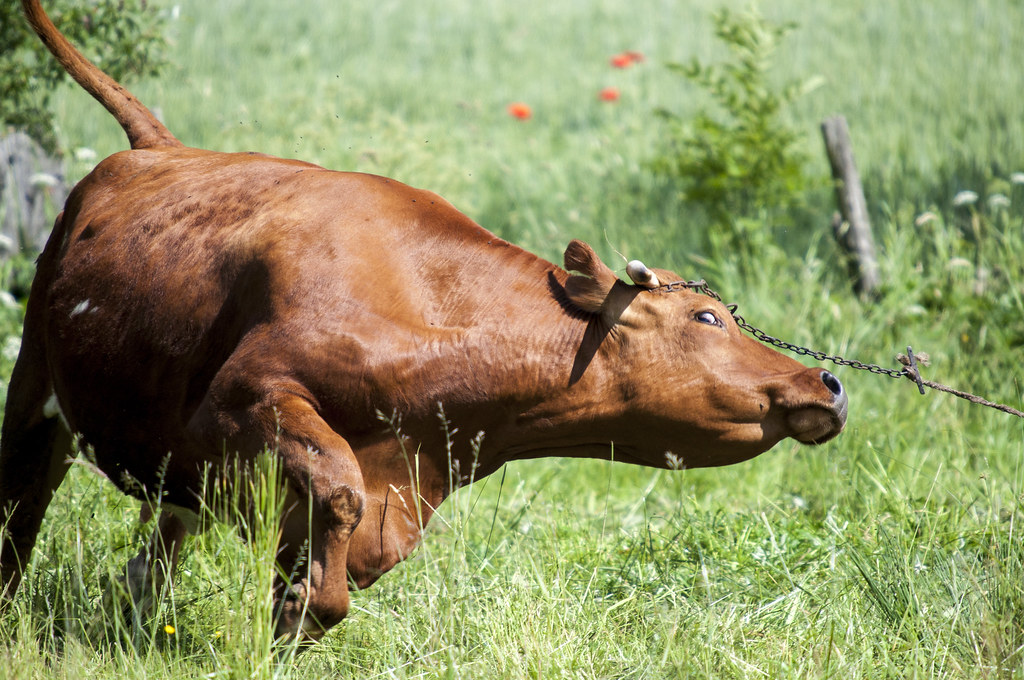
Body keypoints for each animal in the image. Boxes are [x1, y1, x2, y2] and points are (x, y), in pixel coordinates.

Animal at [0, 0, 847, 639]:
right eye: (707, 317)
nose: (828, 383)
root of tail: (156, 146)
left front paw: (297, 611)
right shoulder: (246, 397)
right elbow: (338, 485)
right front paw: (305, 605)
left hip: (169, 474)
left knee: (147, 562)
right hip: (35, 394)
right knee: (18, 522)